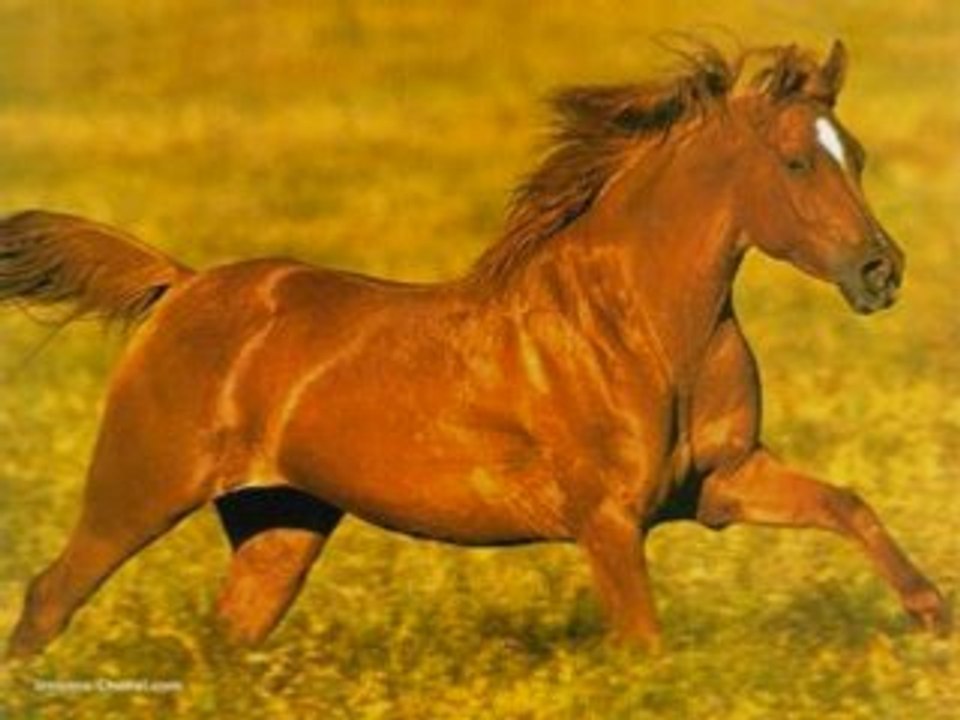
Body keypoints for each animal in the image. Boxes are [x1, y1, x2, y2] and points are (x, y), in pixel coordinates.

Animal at [1, 40, 948, 659]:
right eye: (795, 162)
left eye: (856, 155)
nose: (882, 271)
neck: (641, 331)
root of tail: (181, 285)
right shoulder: (607, 520)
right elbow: (644, 642)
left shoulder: (719, 483)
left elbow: (846, 504)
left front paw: (931, 614)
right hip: (140, 488)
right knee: (49, 595)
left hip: (280, 520)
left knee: (228, 634)